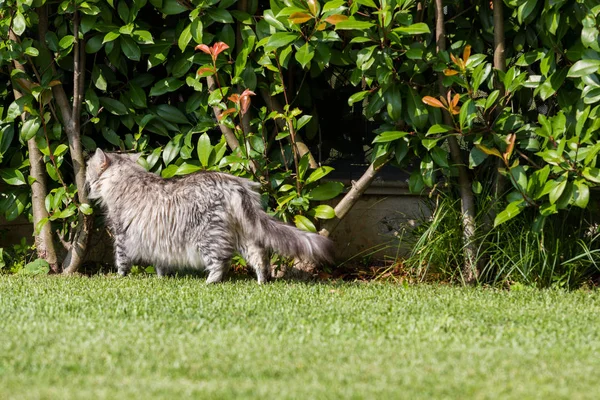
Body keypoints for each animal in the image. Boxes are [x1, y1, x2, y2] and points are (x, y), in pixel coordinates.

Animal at [85, 148, 332, 282]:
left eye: (88, 167)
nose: (85, 177)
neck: (126, 177)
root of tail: (232, 183)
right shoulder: (156, 238)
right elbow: (160, 262)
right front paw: (161, 277)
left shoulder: (121, 233)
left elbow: (121, 259)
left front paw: (119, 277)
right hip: (243, 234)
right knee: (260, 256)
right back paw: (262, 281)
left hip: (208, 236)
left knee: (221, 261)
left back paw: (210, 281)